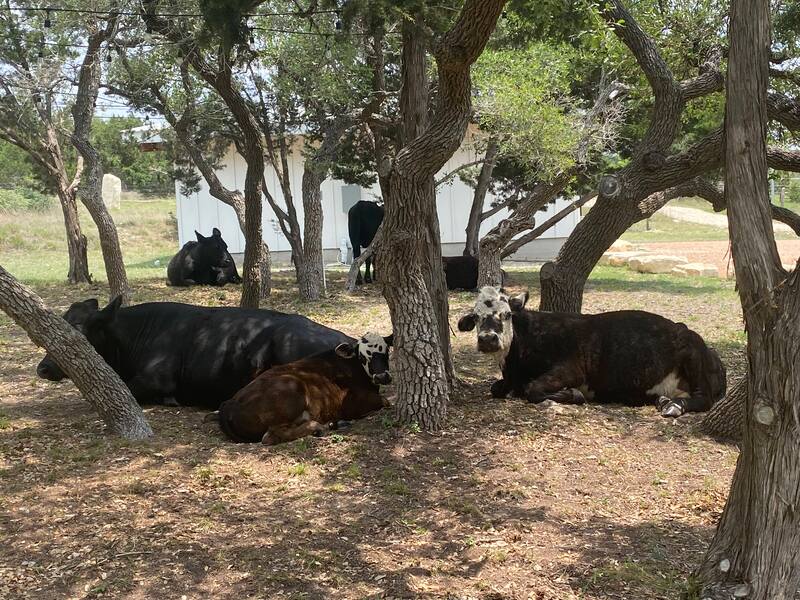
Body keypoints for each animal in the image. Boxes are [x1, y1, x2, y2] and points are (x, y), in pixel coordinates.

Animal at [214, 332, 393, 444]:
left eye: (385, 351)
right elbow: (386, 401)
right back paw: (319, 427)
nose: (382, 376)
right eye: (363, 356)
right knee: (271, 436)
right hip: (292, 389)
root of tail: (229, 403)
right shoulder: (352, 404)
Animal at [457, 287, 726, 417]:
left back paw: (674, 406)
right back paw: (663, 400)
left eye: (507, 314)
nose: (487, 339)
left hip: (692, 355)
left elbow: (533, 389)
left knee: (704, 398)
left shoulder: (570, 371)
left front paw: (573, 395)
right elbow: (496, 388)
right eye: (476, 317)